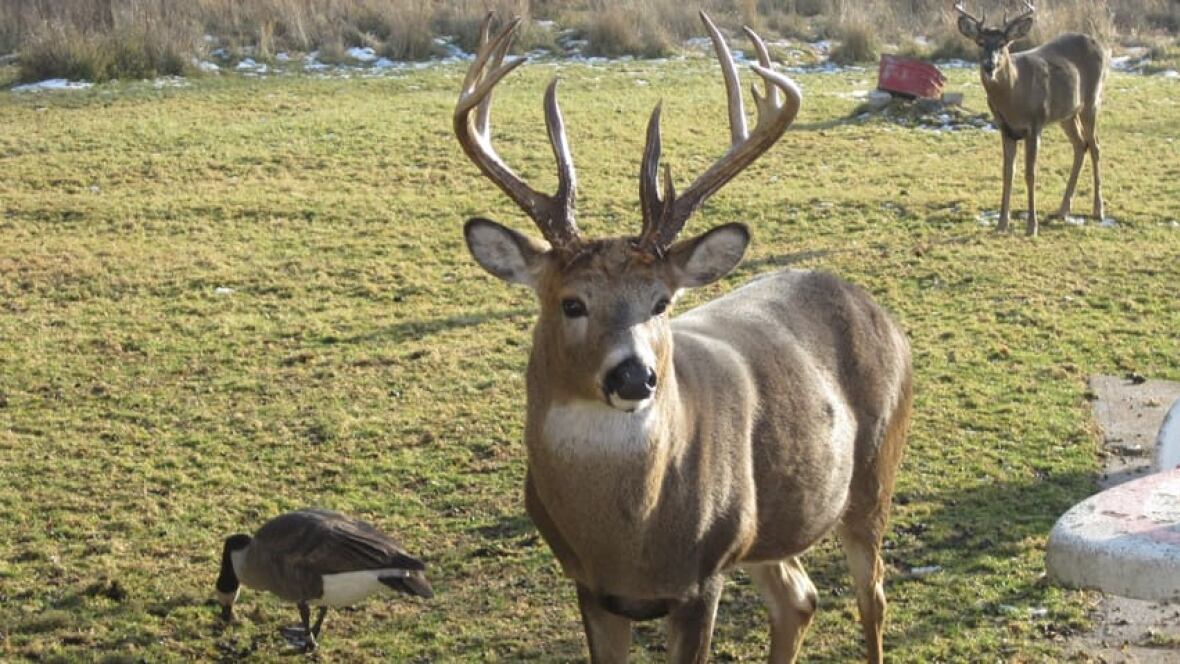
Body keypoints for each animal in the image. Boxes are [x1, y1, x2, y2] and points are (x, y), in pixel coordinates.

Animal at [454, 11, 913, 663]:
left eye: (661, 301)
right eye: (572, 303)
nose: (634, 375)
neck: (628, 539)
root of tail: (882, 314)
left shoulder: (704, 575)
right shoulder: (590, 587)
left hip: (874, 474)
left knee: (872, 597)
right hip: (770, 527)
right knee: (799, 598)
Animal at [955, 1, 1109, 236]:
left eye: (1003, 43)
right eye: (980, 42)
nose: (989, 65)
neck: (1014, 96)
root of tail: (1097, 43)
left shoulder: (1035, 124)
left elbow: (1030, 173)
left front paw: (1031, 226)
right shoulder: (1005, 128)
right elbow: (1008, 173)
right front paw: (1001, 224)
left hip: (1092, 100)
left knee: (1095, 146)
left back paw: (1098, 211)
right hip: (1067, 113)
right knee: (1080, 144)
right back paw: (1063, 210)